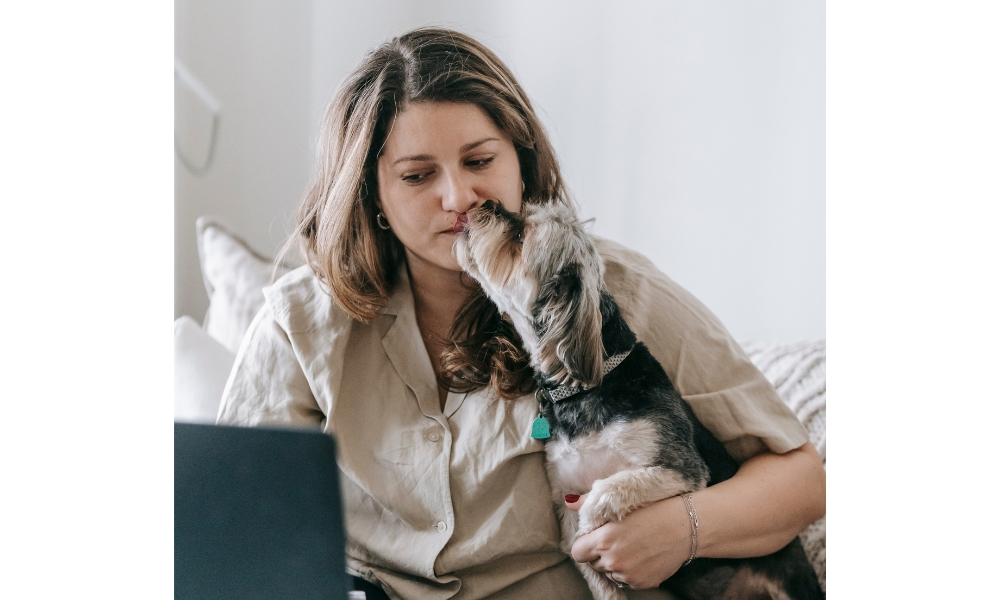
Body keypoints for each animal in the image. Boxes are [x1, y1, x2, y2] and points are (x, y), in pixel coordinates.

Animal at [458, 200, 824, 600]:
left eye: (520, 234)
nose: (484, 204)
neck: (587, 389)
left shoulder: (679, 469)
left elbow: (605, 492)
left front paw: (592, 526)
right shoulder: (564, 494)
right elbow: (597, 578)